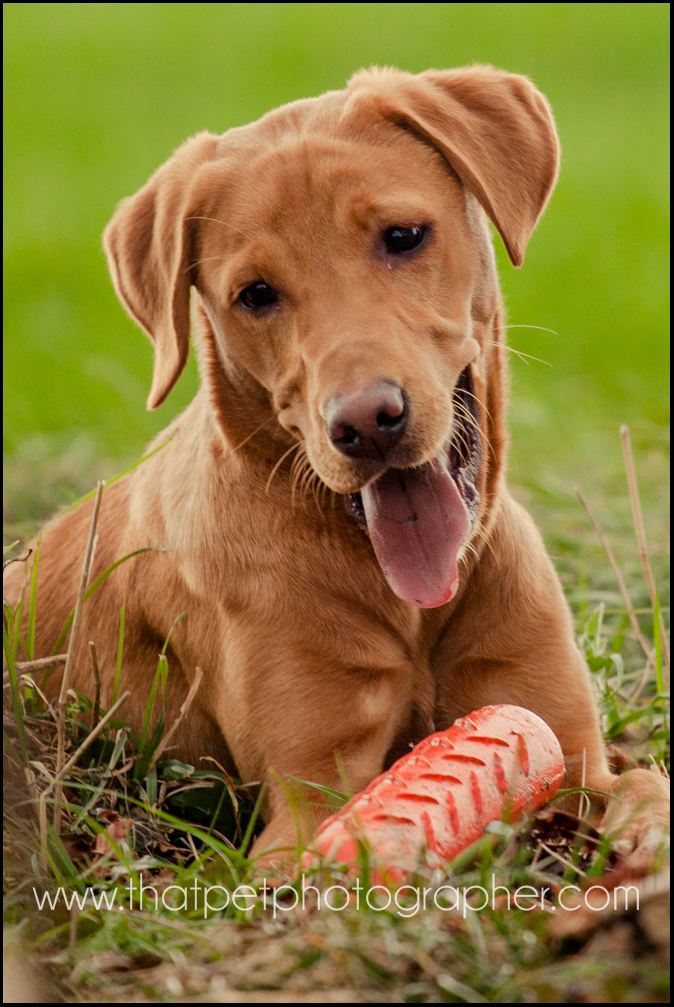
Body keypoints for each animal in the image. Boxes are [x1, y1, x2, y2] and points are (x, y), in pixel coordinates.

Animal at [5, 65, 668, 865]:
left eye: (403, 236)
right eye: (255, 294)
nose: (367, 423)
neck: (413, 607)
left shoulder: (561, 743)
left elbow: (643, 784)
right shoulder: (308, 794)